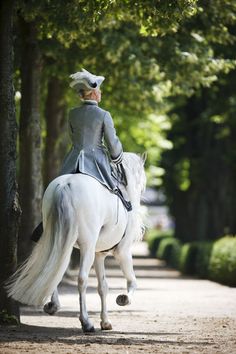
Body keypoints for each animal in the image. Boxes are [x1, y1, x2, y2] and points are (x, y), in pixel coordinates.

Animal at [6, 152, 146, 332]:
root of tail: (65, 185)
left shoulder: (99, 254)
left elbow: (103, 287)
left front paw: (105, 322)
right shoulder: (123, 252)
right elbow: (132, 281)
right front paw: (124, 299)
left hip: (58, 238)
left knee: (53, 267)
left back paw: (53, 306)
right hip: (86, 246)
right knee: (81, 279)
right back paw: (86, 322)